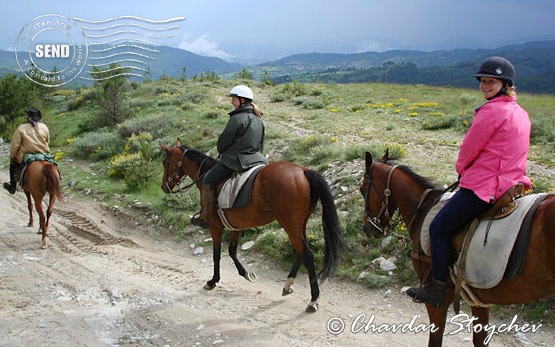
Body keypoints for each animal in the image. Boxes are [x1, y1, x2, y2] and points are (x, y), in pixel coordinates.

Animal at [159, 140, 346, 314]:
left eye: (165, 162)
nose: (163, 187)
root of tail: (304, 171)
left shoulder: (215, 227)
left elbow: (217, 254)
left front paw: (213, 281)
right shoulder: (235, 227)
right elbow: (232, 251)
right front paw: (246, 274)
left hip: (290, 224)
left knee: (306, 254)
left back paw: (313, 299)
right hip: (300, 224)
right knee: (301, 252)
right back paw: (288, 284)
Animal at [360, 152, 555, 347]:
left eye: (363, 189)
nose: (367, 228)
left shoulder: (437, 301)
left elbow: (435, 339)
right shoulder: (479, 299)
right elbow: (480, 340)